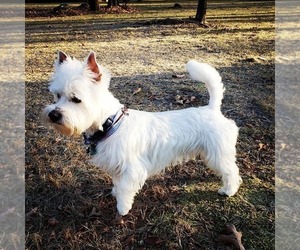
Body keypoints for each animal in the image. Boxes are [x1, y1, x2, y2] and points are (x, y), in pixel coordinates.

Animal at [42, 51, 241, 217]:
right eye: (57, 95)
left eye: (76, 99)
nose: (53, 115)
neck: (110, 124)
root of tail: (212, 109)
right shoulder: (116, 167)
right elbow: (117, 183)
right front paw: (115, 193)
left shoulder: (132, 170)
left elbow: (124, 189)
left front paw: (122, 208)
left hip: (218, 153)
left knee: (232, 171)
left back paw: (228, 190)